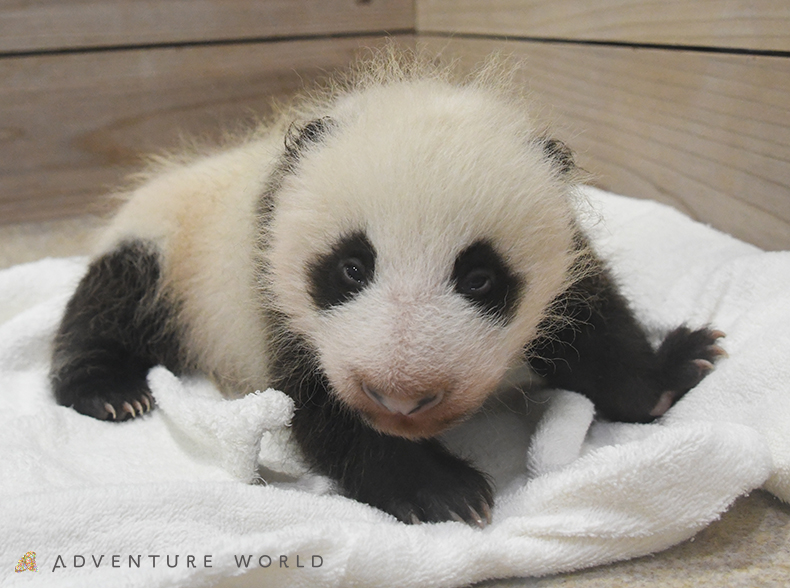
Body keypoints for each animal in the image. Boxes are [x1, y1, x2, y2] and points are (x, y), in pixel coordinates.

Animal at [52, 51, 728, 528]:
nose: (400, 398)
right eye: (352, 268)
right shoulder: (270, 291)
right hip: (165, 248)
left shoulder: (566, 262)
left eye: (480, 279)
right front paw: (447, 491)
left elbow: (595, 328)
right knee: (110, 306)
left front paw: (676, 368)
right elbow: (323, 411)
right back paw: (111, 392)